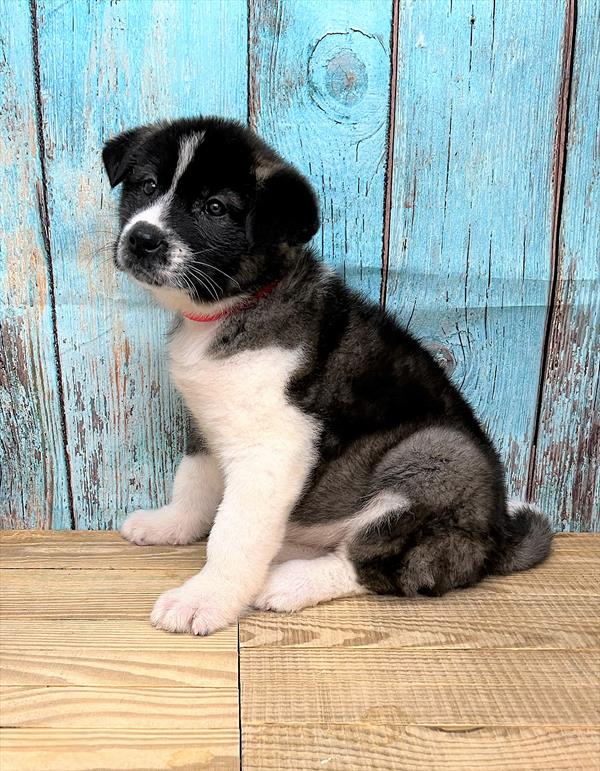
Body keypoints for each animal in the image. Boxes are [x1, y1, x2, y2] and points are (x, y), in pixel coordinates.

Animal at [101, 114, 552, 632]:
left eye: (214, 208)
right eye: (147, 185)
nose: (142, 238)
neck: (234, 308)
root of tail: (497, 538)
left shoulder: (273, 448)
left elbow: (234, 534)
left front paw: (206, 598)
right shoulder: (207, 425)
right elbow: (193, 483)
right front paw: (172, 524)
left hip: (439, 454)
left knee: (378, 564)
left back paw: (289, 582)